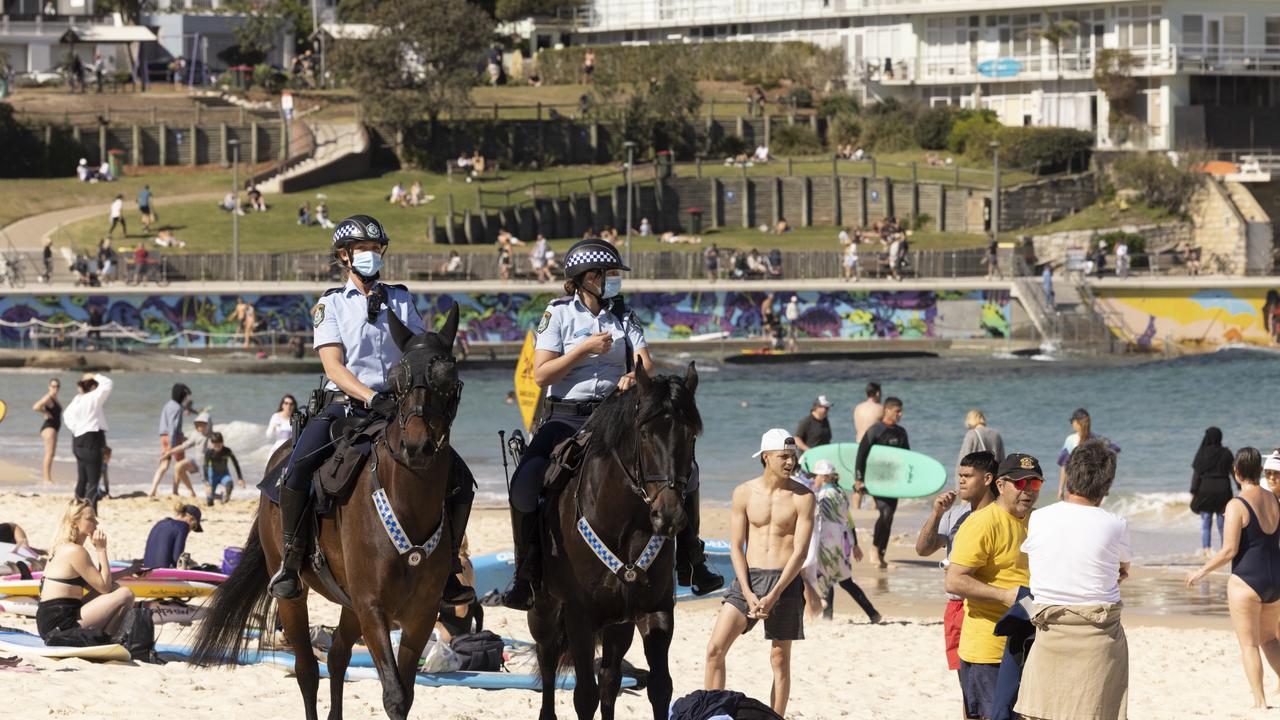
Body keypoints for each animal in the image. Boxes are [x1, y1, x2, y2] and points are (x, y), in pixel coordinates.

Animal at [189, 302, 465, 717]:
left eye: (448, 375)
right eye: (397, 377)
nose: (417, 446)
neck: (407, 503)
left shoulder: (419, 615)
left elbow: (404, 694)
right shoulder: (373, 608)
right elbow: (394, 694)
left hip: (350, 605)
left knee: (336, 657)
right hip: (295, 594)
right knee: (307, 668)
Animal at [535, 361, 706, 717]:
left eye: (690, 435)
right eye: (645, 434)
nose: (669, 516)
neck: (626, 526)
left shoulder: (654, 609)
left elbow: (660, 687)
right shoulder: (579, 616)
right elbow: (584, 695)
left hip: (618, 622)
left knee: (610, 680)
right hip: (544, 608)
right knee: (547, 660)